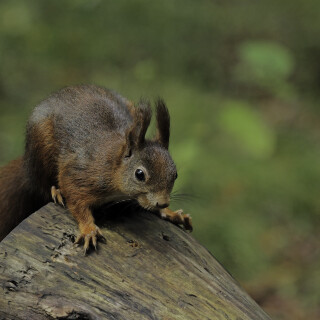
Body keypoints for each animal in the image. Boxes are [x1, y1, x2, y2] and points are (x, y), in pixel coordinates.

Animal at [0, 85, 192, 252]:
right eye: (139, 174)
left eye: (175, 174)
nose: (163, 202)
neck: (113, 165)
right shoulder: (80, 172)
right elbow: (76, 200)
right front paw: (88, 229)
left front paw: (170, 213)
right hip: (40, 147)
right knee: (41, 184)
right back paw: (56, 191)